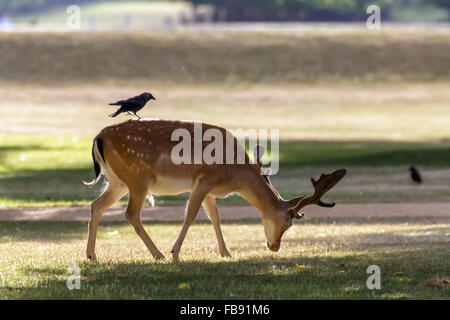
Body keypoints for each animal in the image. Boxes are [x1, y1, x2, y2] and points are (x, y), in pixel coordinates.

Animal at [82, 119, 346, 262]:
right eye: (288, 222)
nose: (274, 247)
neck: (235, 174)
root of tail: (98, 138)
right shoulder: (204, 181)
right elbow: (190, 215)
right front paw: (175, 252)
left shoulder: (209, 190)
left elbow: (215, 217)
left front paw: (226, 253)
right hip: (138, 178)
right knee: (131, 214)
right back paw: (159, 254)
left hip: (117, 181)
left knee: (96, 206)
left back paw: (92, 255)